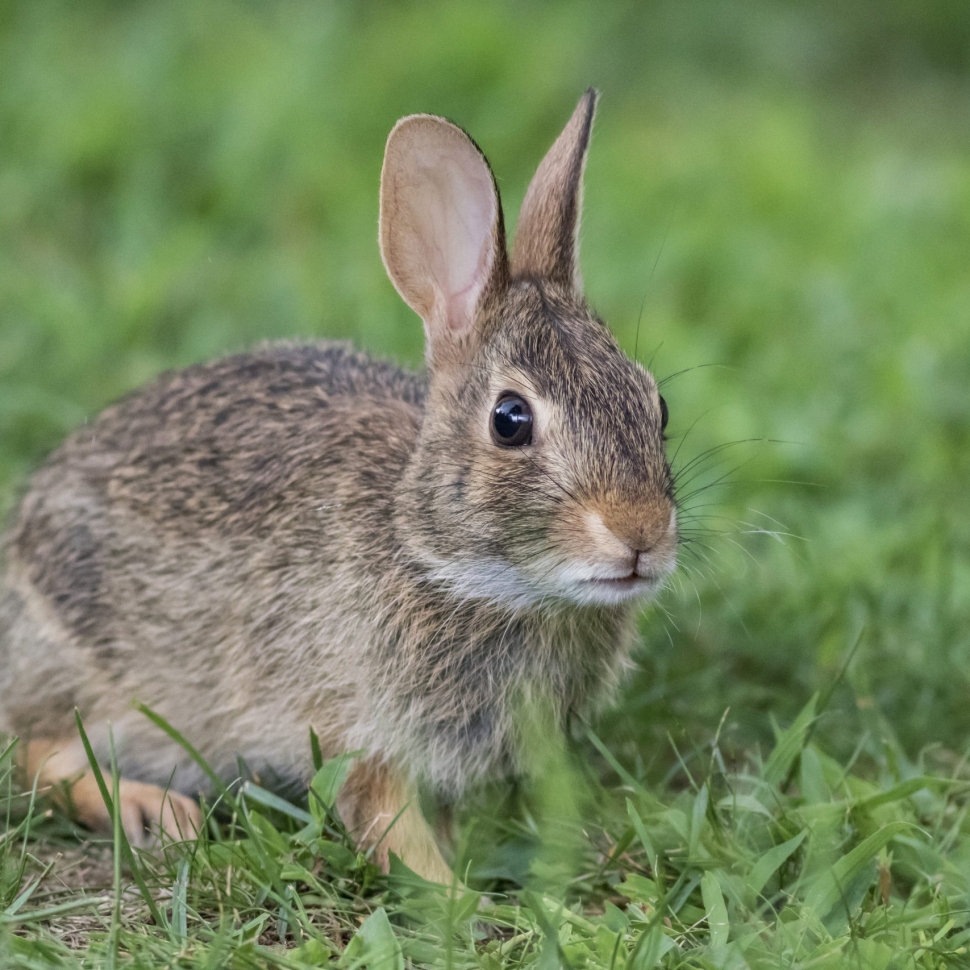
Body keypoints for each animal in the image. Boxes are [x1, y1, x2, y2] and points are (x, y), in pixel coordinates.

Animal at [0, 89, 677, 884]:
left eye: (656, 404)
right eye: (510, 421)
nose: (640, 536)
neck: (441, 559)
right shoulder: (362, 732)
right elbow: (389, 825)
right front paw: (462, 897)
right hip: (81, 671)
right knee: (36, 752)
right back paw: (151, 809)